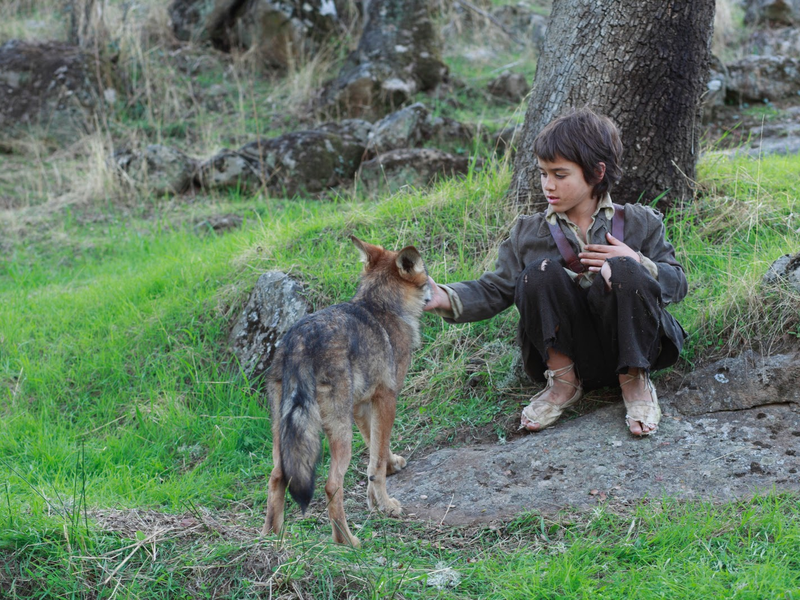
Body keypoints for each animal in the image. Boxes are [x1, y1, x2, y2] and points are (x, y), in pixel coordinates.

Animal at [262, 236, 431, 547]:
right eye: (426, 275)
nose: (436, 290)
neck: (382, 306)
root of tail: (299, 341)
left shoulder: (362, 404)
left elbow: (376, 449)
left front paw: (388, 471)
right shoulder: (387, 397)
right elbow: (376, 464)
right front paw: (387, 505)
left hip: (282, 432)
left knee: (277, 476)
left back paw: (273, 539)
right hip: (340, 434)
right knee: (331, 485)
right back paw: (348, 543)